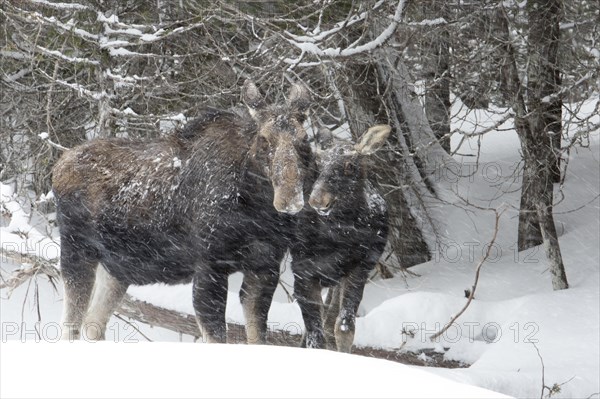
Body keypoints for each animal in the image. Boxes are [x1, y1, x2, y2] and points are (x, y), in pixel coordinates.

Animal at [53, 80, 314, 344]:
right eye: (264, 139)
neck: (256, 210)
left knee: (93, 324)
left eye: (304, 139)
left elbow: (258, 337)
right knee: (69, 327)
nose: (289, 199)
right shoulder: (210, 266)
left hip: (117, 268)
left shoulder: (264, 267)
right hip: (77, 249)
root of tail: (59, 166)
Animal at [290, 124, 392, 354]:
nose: (318, 200)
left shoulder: (359, 268)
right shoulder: (303, 272)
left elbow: (344, 327)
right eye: (317, 163)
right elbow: (315, 336)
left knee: (329, 318)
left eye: (349, 165)